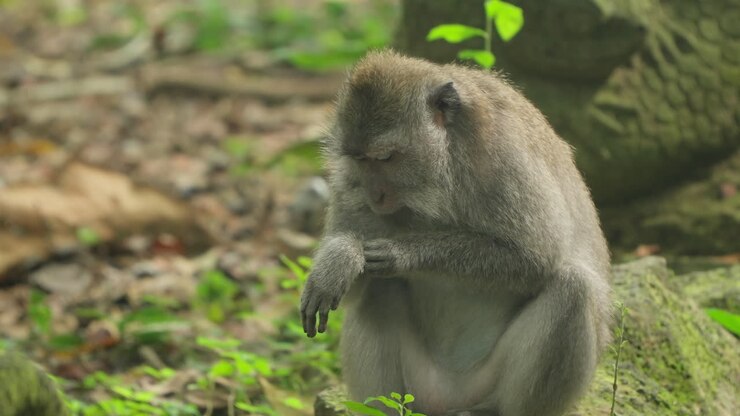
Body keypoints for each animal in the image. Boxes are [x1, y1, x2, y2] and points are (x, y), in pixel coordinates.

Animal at [300, 50, 611, 416]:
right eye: (361, 159)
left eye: (386, 158)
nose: (374, 195)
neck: (441, 177)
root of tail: (448, 399)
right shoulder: (347, 183)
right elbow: (352, 288)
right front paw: (340, 260)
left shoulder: (503, 153)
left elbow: (538, 257)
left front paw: (401, 253)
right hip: (419, 391)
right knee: (380, 288)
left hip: (484, 387)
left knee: (572, 288)